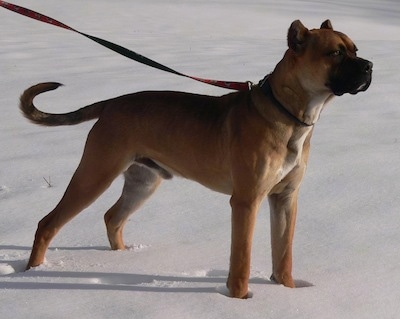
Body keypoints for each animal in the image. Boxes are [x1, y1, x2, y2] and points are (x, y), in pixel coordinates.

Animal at [19, 20, 372, 300]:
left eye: (355, 49)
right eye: (336, 53)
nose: (369, 65)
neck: (289, 114)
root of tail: (112, 103)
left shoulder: (286, 198)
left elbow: (283, 255)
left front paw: (287, 292)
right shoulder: (246, 201)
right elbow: (241, 260)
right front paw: (240, 299)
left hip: (143, 181)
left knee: (113, 218)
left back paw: (122, 259)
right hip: (94, 174)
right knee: (47, 224)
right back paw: (32, 272)